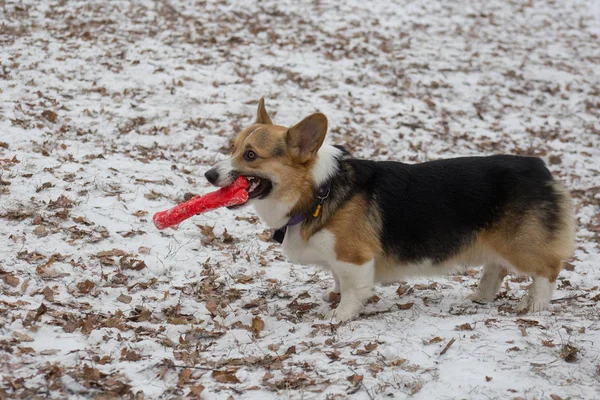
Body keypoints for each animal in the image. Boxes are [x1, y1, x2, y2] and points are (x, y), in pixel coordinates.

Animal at [206, 100, 576, 322]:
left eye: (251, 155)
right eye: (232, 148)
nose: (208, 175)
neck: (318, 191)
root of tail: (541, 169)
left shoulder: (354, 259)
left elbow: (353, 290)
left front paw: (340, 316)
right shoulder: (337, 260)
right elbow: (338, 280)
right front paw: (333, 297)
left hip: (520, 245)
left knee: (547, 269)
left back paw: (535, 304)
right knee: (495, 269)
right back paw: (479, 297)